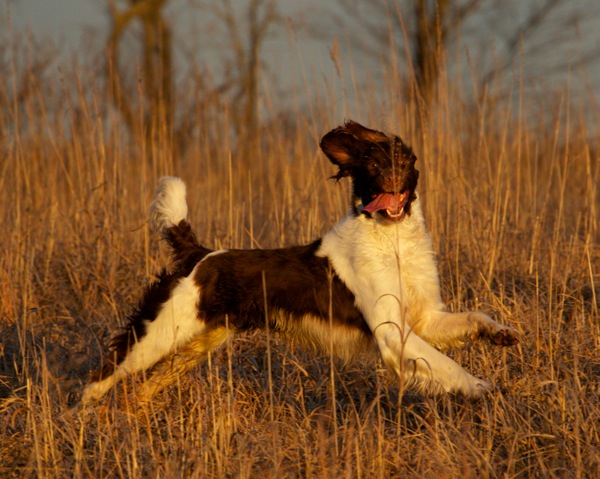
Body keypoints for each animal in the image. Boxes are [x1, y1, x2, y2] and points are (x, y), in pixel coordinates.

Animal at [81, 120, 520, 404]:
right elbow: (445, 364)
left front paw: (499, 334)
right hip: (157, 334)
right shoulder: (391, 333)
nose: (392, 178)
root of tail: (198, 253)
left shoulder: (423, 318)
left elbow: (474, 318)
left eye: (404, 159)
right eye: (373, 165)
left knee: (142, 389)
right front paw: (480, 387)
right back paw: (83, 419)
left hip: (198, 343)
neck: (390, 238)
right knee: (101, 377)